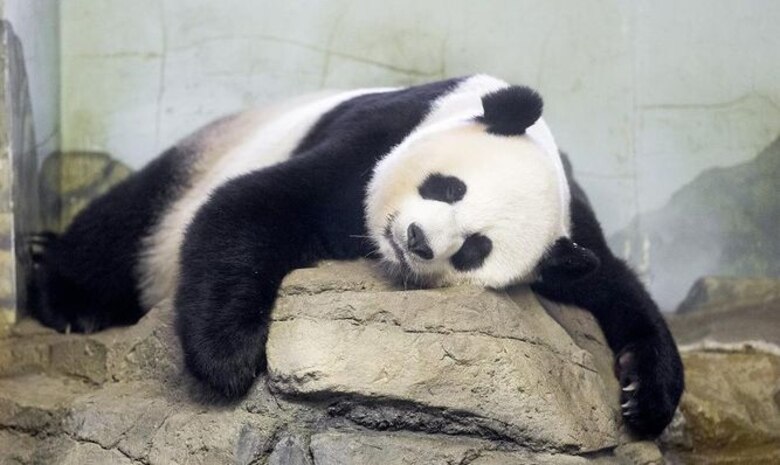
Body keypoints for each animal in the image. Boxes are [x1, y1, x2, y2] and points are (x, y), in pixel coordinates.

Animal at [33, 75, 683, 437]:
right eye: (449, 187)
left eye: (475, 249)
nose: (418, 240)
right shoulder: (380, 133)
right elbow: (252, 205)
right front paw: (231, 359)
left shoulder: (572, 229)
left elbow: (615, 285)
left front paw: (644, 396)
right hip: (195, 166)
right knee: (126, 225)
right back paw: (69, 301)